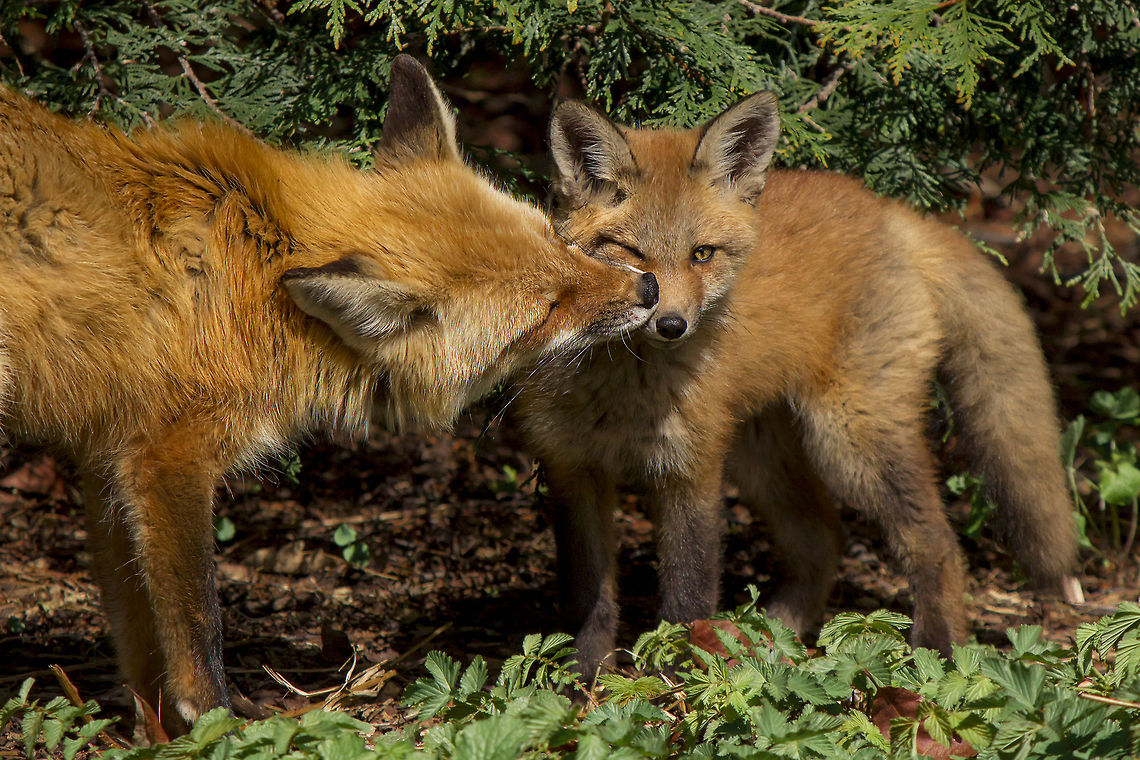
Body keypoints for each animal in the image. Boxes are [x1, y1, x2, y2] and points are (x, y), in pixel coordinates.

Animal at [0, 55, 658, 734]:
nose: (649, 288)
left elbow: (136, 633)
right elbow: (198, 626)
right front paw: (218, 724)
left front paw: (153, 733)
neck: (261, 272)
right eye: (547, 310)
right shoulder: (165, 460)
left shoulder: (108, 456)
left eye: (556, 239)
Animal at [514, 92, 1083, 677]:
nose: (671, 324)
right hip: (761, 454)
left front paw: (674, 685)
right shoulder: (573, 469)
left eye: (702, 254)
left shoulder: (691, 469)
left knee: (935, 542)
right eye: (631, 252)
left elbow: (687, 595)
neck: (622, 388)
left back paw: (937, 651)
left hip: (848, 441)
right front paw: (579, 678)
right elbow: (588, 598)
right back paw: (771, 643)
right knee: (823, 539)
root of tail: (890, 211)